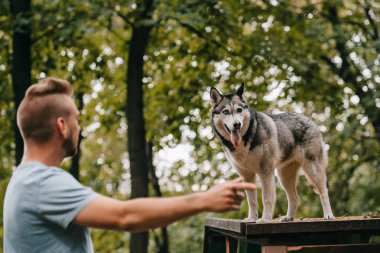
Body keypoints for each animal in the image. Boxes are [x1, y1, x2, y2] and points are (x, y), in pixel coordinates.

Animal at [211, 84, 336, 222]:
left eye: (239, 110)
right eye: (225, 112)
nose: (237, 124)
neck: (248, 136)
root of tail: (308, 119)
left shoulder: (265, 172)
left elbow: (266, 198)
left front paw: (265, 219)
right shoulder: (247, 176)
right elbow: (252, 201)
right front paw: (252, 218)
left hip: (313, 170)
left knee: (324, 192)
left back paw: (328, 215)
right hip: (285, 177)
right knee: (294, 197)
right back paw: (288, 217)